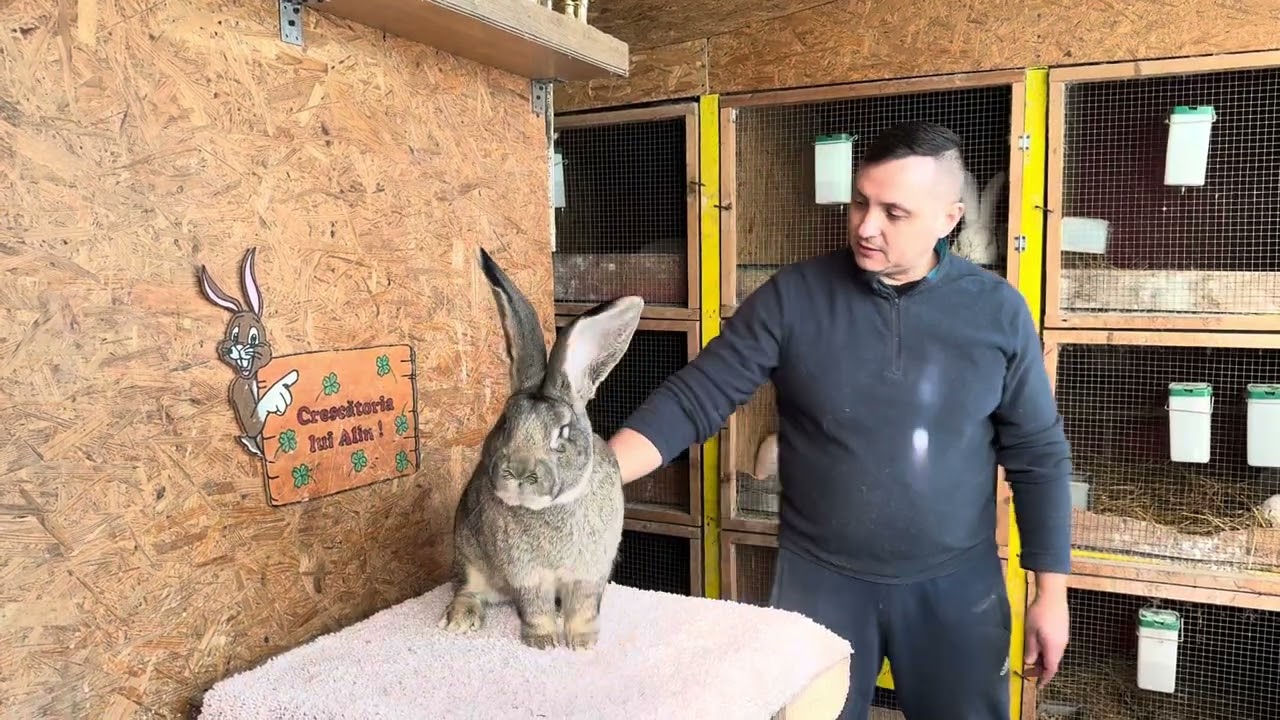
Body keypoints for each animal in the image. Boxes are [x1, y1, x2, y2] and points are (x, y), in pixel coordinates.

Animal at [197, 247, 299, 458]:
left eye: (253, 337)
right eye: (234, 335)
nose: (235, 348)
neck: (251, 377)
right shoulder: (238, 389)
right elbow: (253, 423)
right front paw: (276, 396)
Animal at [439, 246, 643, 651]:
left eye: (561, 432)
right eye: (505, 422)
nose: (518, 471)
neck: (551, 508)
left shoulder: (590, 572)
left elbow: (584, 607)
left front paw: (583, 643)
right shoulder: (527, 574)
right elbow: (535, 606)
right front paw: (544, 641)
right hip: (468, 553)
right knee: (466, 589)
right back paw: (459, 620)